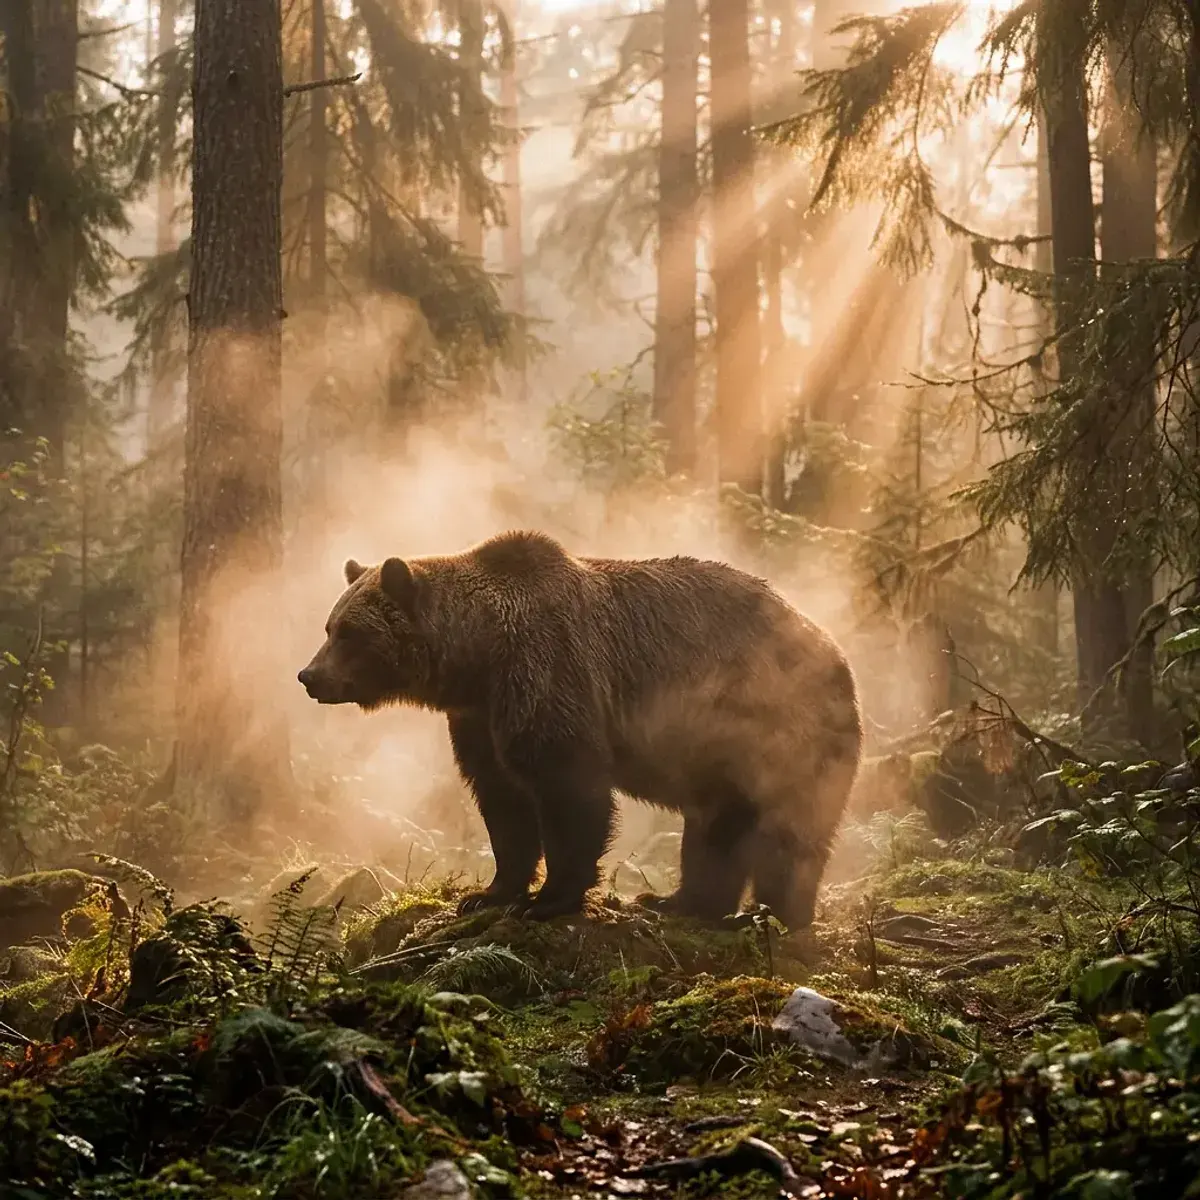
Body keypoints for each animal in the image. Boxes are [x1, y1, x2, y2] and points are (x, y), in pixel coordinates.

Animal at [297, 530, 863, 926]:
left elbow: (568, 789)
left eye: (349, 632)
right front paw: (488, 894)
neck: (480, 657)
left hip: (786, 731)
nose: (309, 676)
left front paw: (548, 900)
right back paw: (679, 901)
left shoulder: (550, 672)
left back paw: (775, 914)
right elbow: (503, 802)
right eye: (329, 626)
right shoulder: (481, 717)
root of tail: (837, 654)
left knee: (788, 834)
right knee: (716, 829)